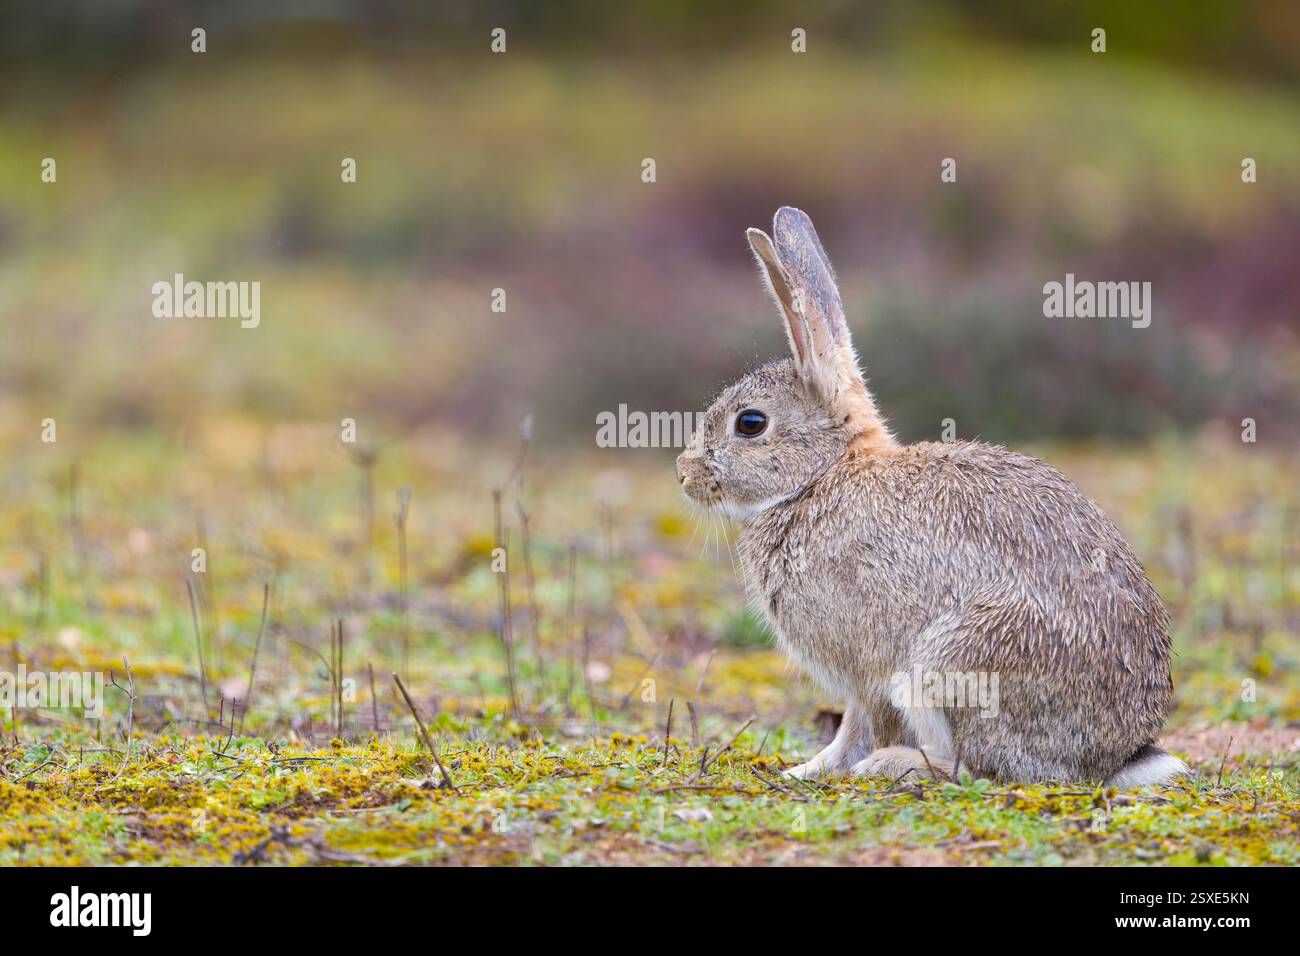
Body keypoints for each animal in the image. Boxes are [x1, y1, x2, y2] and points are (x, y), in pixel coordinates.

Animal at [676, 206, 1188, 787]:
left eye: (750, 423)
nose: (685, 474)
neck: (824, 474)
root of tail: (1113, 756)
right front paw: (803, 770)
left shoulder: (867, 667)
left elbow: (859, 724)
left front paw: (824, 769)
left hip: (952, 660)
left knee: (974, 767)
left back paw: (896, 764)